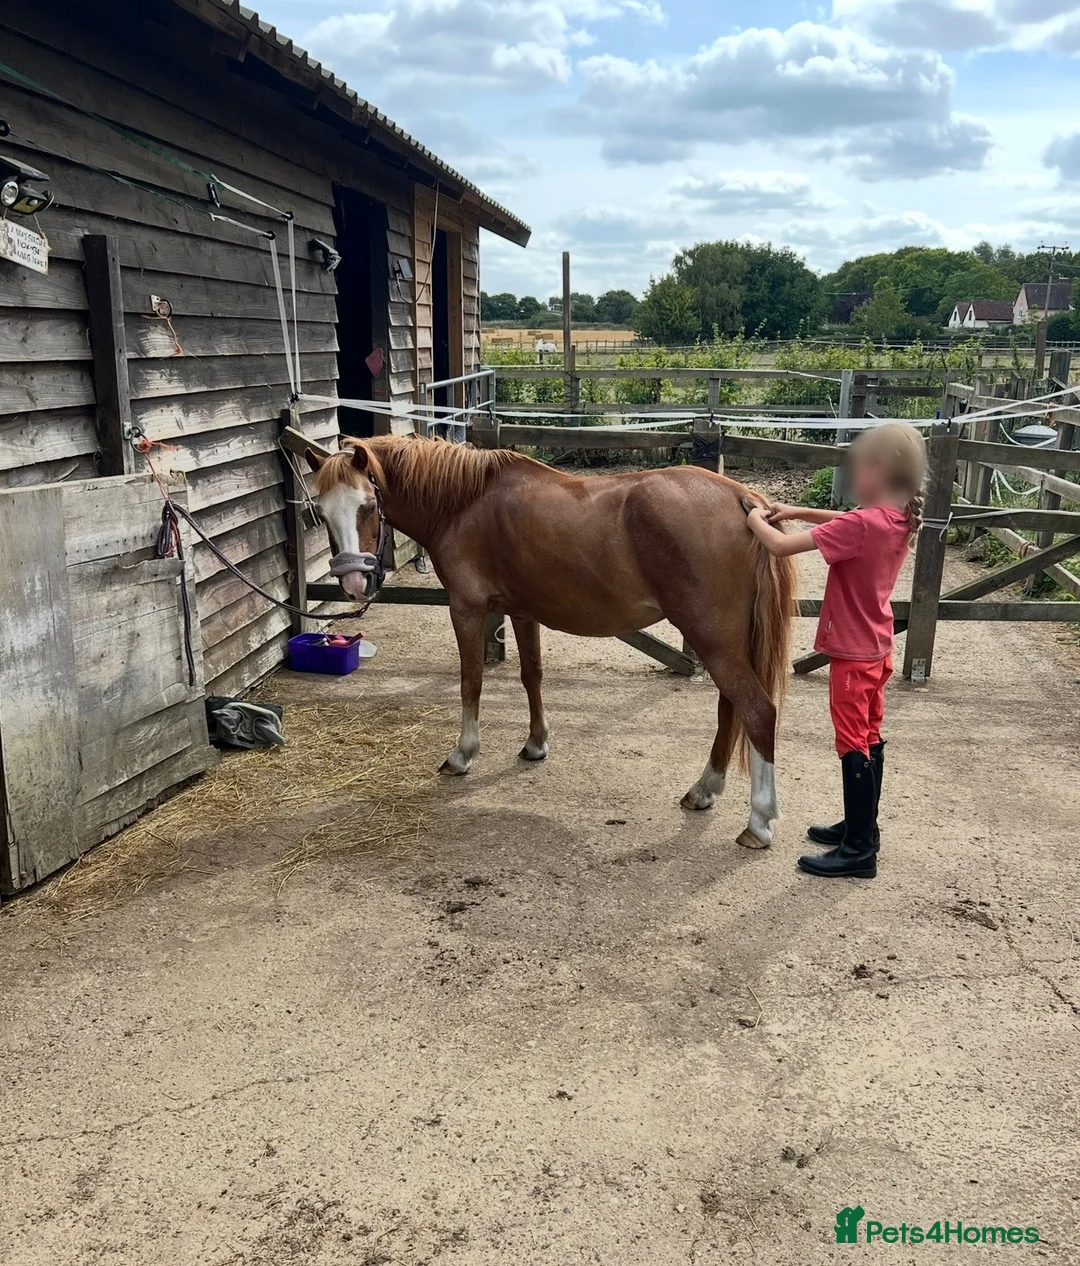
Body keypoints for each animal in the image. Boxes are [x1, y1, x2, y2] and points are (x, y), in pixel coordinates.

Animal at [306, 435, 797, 850]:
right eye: (321, 512)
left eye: (368, 505)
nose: (354, 583)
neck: (465, 503)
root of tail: (743, 499)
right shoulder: (522, 612)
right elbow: (532, 675)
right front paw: (536, 744)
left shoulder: (466, 608)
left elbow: (471, 681)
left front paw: (463, 754)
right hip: (725, 640)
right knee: (730, 708)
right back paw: (704, 789)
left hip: (711, 636)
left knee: (756, 711)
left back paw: (758, 822)